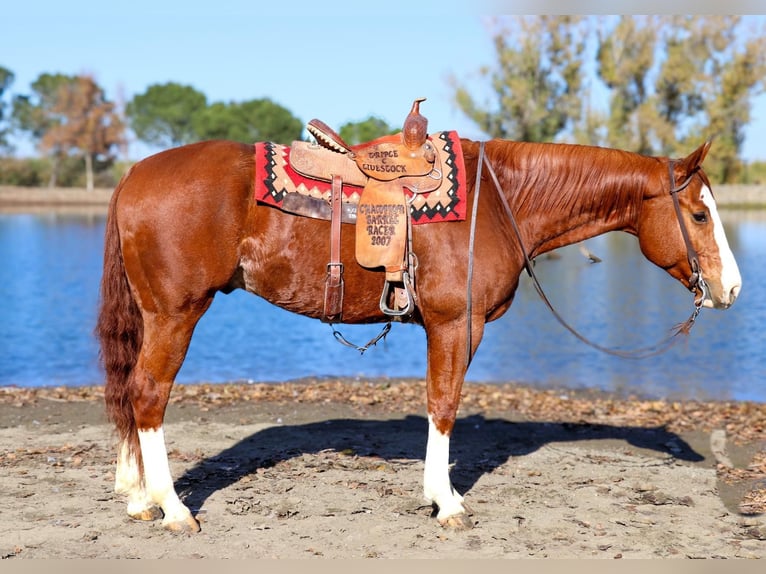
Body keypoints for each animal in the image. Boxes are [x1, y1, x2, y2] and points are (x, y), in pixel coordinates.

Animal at [96, 137, 744, 532]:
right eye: (699, 214)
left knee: (129, 392)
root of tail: (134, 174)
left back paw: (138, 497)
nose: (732, 289)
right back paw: (173, 508)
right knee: (148, 395)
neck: (500, 202)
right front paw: (446, 501)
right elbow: (444, 406)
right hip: (176, 313)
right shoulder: (457, 325)